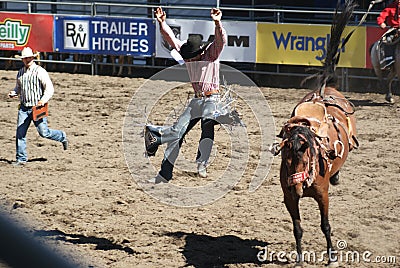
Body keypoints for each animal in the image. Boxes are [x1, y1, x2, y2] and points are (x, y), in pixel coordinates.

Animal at [274, 1, 358, 266]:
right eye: (286, 162)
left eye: (305, 160)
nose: (297, 187)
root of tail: (325, 90)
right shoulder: (289, 198)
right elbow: (297, 228)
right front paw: (300, 258)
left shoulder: (323, 196)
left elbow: (325, 226)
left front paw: (332, 257)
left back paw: (337, 176)